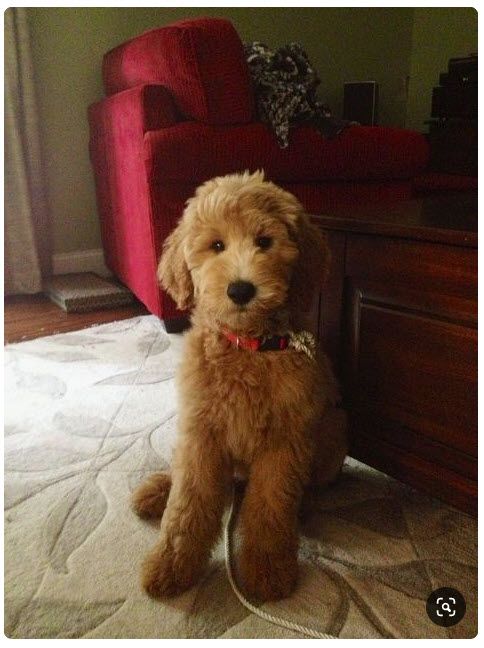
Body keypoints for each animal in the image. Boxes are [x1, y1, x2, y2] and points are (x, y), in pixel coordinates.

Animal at [132, 171, 348, 604]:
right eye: (216, 245)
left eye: (264, 241)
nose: (241, 290)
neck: (246, 348)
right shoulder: (202, 433)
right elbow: (187, 502)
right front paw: (171, 564)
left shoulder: (284, 443)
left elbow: (270, 506)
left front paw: (268, 570)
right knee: (183, 471)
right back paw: (158, 489)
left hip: (334, 430)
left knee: (306, 484)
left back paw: (304, 507)